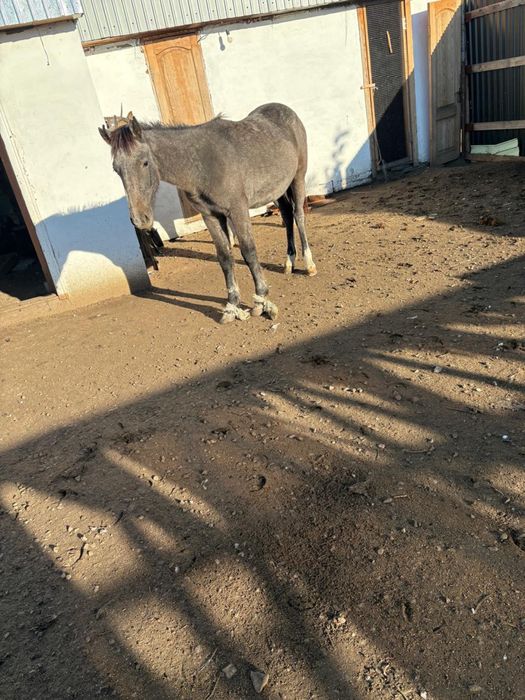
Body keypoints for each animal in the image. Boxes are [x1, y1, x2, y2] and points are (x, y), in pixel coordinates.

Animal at [99, 103, 317, 323]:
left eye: (144, 162)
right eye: (116, 169)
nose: (140, 219)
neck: (202, 165)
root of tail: (286, 110)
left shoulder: (238, 210)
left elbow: (248, 252)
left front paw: (261, 302)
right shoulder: (210, 216)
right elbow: (224, 257)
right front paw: (232, 306)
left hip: (298, 178)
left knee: (298, 215)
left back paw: (308, 264)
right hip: (278, 190)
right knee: (287, 216)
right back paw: (289, 262)